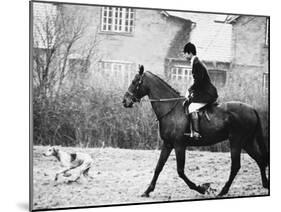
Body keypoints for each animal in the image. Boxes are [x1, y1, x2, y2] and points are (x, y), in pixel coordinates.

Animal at [121, 65, 268, 197]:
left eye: (134, 82)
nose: (124, 101)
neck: (170, 109)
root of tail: (252, 109)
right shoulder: (168, 144)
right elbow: (158, 167)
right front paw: (147, 191)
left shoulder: (179, 145)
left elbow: (180, 171)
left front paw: (202, 188)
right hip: (247, 142)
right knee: (260, 160)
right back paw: (265, 184)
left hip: (236, 142)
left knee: (236, 166)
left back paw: (223, 191)